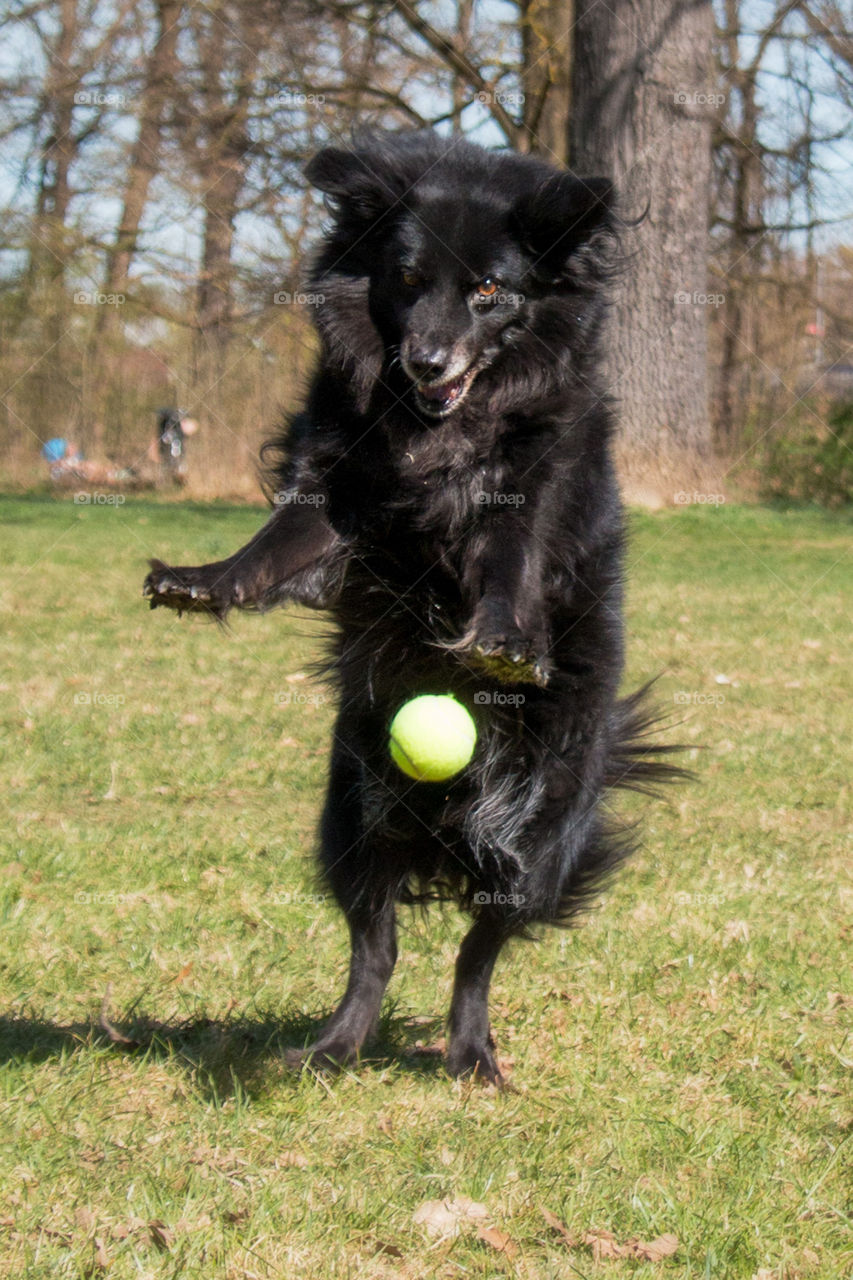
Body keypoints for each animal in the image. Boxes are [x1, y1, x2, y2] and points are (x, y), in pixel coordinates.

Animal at [142, 129, 681, 1085]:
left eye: (489, 290)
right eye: (404, 277)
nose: (428, 362)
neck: (435, 430)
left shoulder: (523, 497)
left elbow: (506, 564)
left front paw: (502, 642)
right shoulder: (336, 488)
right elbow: (274, 541)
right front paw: (204, 580)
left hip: (530, 836)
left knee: (477, 952)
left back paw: (470, 1056)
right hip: (354, 817)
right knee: (376, 945)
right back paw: (333, 1048)